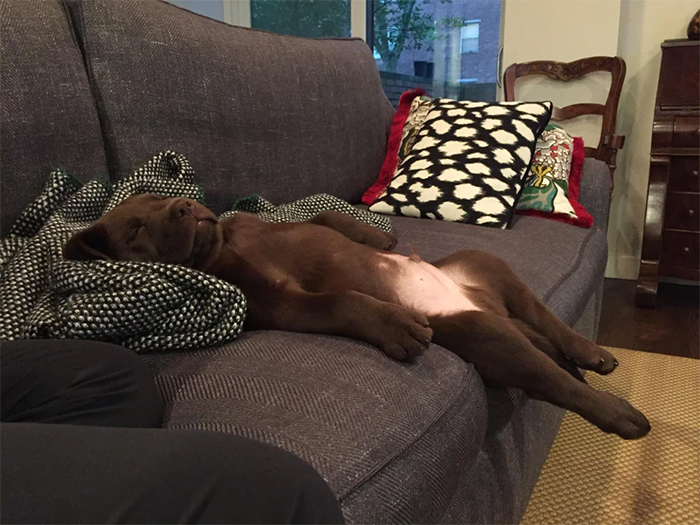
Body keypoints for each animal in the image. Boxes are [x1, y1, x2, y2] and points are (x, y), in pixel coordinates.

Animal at [64, 193, 652, 438]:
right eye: (135, 230)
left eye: (158, 196)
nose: (185, 208)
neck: (224, 246)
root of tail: (479, 305)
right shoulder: (281, 302)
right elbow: (342, 300)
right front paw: (395, 324)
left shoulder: (265, 224)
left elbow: (324, 219)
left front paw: (376, 237)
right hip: (485, 333)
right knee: (552, 376)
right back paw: (618, 414)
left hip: (488, 267)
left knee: (548, 326)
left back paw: (591, 351)